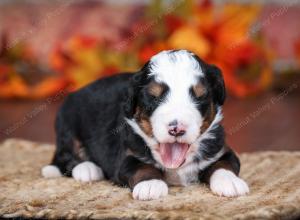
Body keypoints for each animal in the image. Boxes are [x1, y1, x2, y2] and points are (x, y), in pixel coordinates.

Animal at [41, 50, 248, 201]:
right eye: (154, 97)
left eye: (199, 96)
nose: (177, 129)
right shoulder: (126, 156)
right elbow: (142, 167)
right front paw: (151, 185)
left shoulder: (219, 148)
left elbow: (225, 164)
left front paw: (230, 182)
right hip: (67, 125)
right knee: (65, 157)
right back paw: (87, 169)